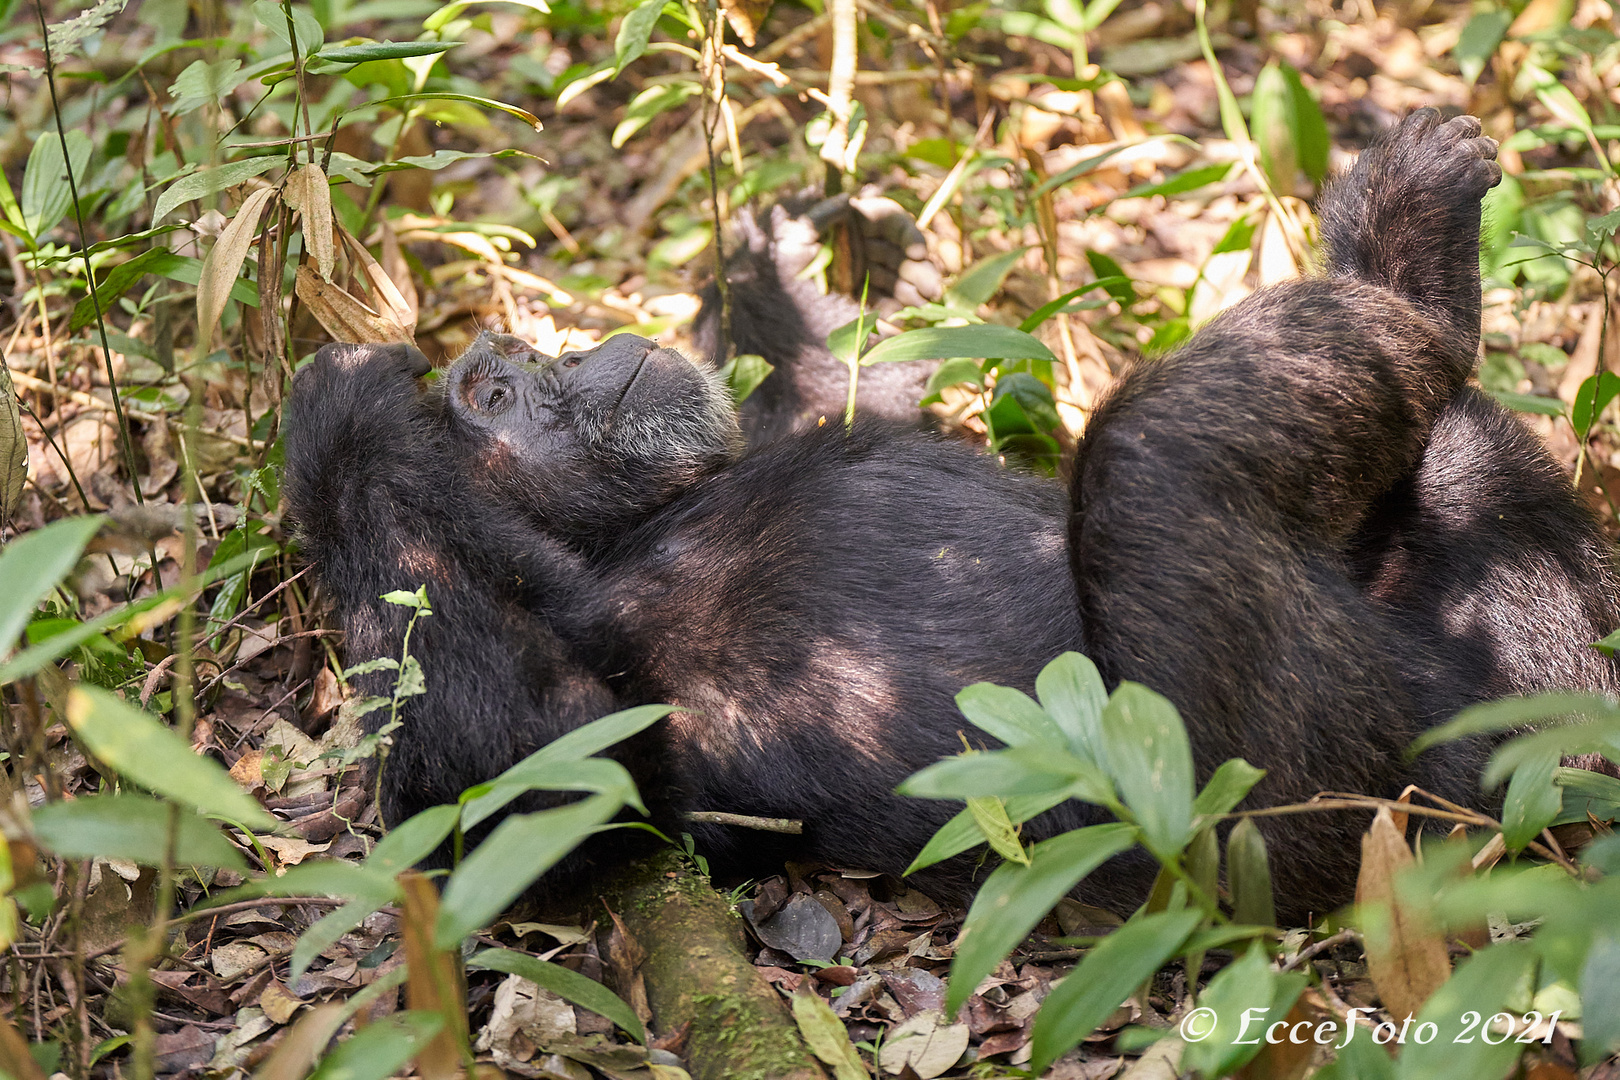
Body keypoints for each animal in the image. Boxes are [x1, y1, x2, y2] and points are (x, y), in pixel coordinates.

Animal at [285, 110, 1613, 919]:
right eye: (499, 395)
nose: (533, 352)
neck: (626, 532)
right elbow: (520, 779)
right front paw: (341, 415)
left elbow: (840, 395)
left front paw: (779, 268)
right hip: (1310, 810)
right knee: (1146, 470)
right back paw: (1412, 279)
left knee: (1462, 477)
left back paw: (1412, 258)